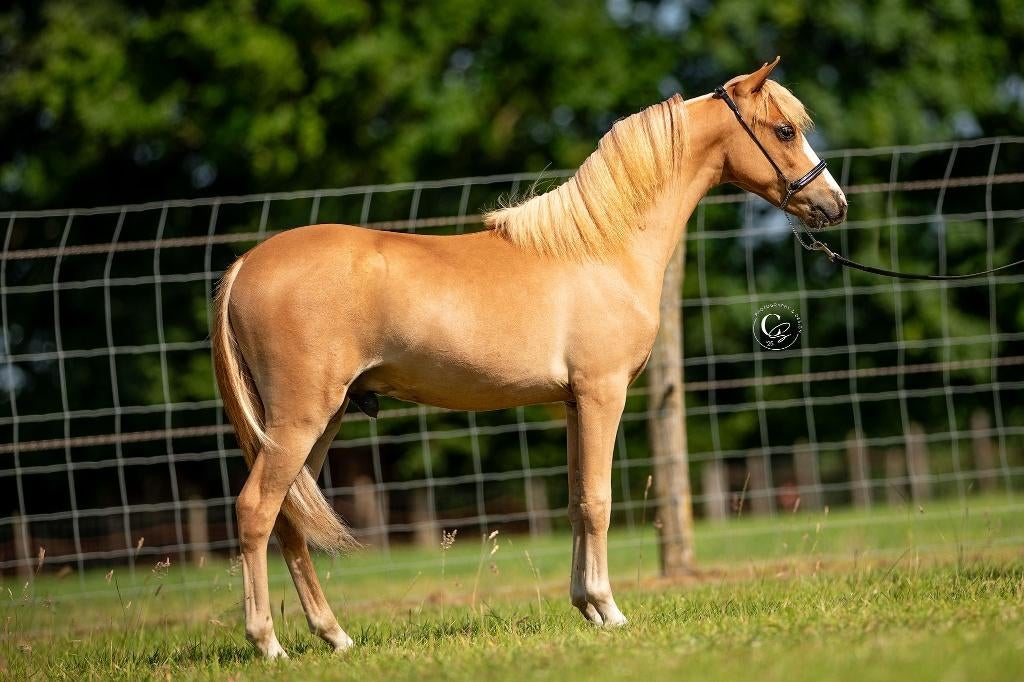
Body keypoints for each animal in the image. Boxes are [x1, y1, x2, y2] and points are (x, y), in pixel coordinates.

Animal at [211, 57, 847, 658]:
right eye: (785, 130)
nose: (834, 204)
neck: (602, 248)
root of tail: (247, 265)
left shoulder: (572, 403)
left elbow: (575, 501)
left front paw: (586, 607)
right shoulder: (602, 393)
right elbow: (599, 501)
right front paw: (609, 609)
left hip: (320, 423)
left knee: (289, 519)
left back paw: (334, 636)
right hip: (300, 420)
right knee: (255, 510)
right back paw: (268, 643)